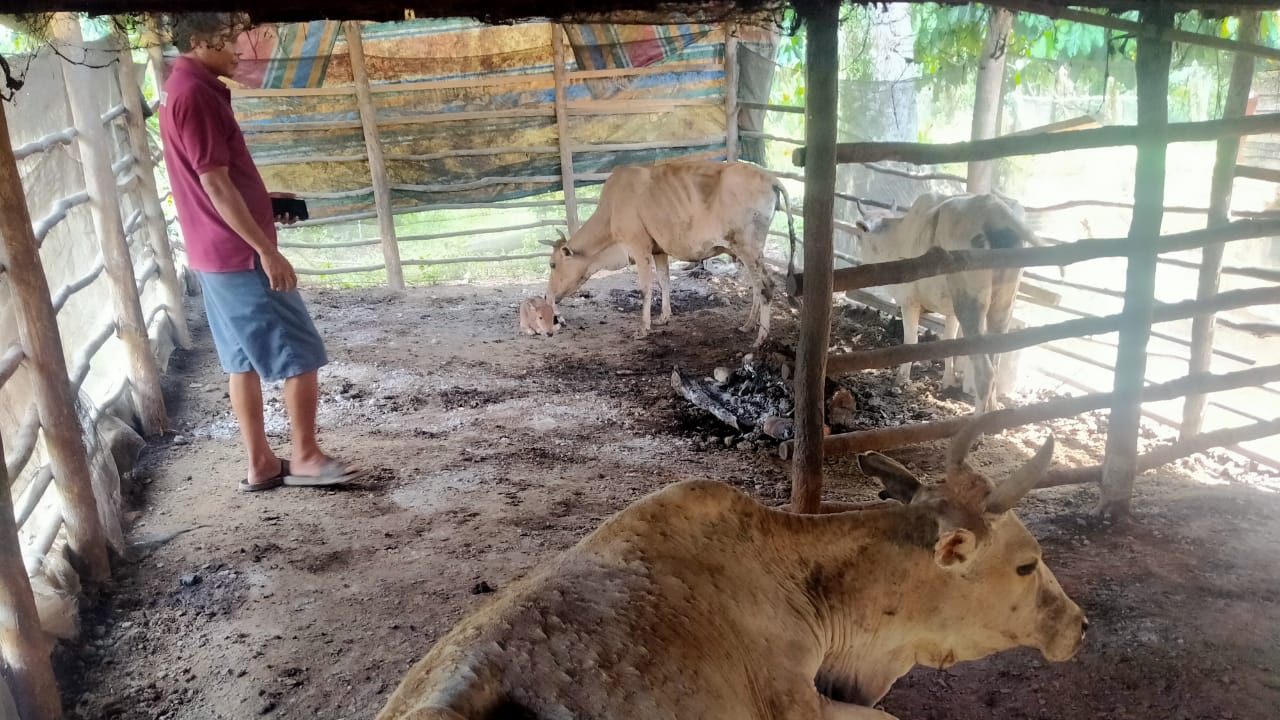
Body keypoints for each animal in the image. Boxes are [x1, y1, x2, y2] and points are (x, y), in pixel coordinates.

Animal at [545, 159, 793, 345]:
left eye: (552, 264)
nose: (548, 297)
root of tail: (770, 177)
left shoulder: (639, 247)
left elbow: (645, 288)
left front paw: (643, 328)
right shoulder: (659, 250)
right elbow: (664, 281)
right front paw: (664, 317)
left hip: (748, 247)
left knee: (767, 286)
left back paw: (760, 339)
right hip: (747, 251)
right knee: (756, 286)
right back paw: (748, 325)